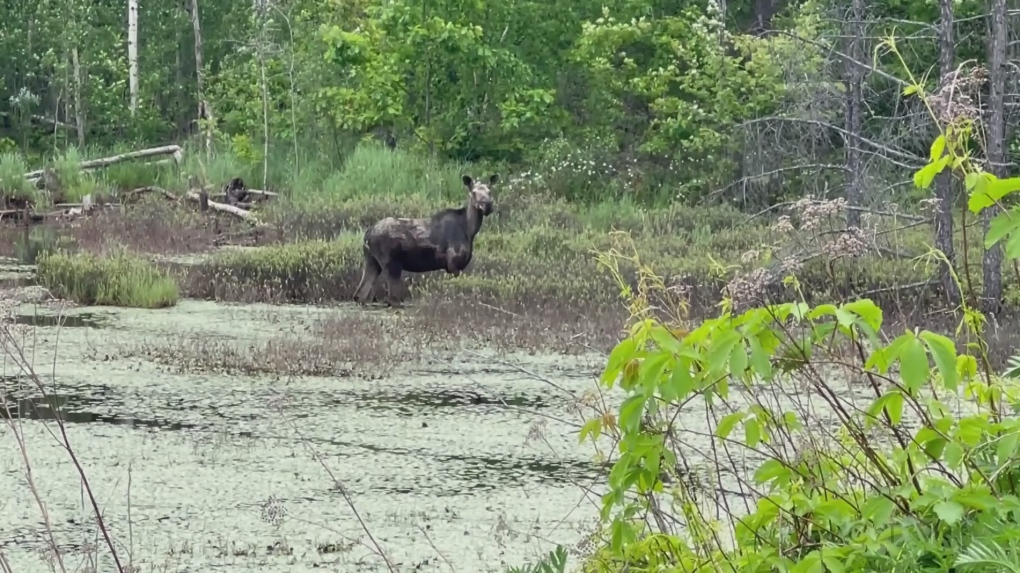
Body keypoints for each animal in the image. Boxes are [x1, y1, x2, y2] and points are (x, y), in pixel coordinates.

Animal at [357, 171, 499, 305]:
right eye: (474, 193)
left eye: (490, 191)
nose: (488, 205)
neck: (469, 230)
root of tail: (367, 234)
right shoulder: (454, 264)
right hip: (391, 264)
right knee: (391, 299)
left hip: (371, 262)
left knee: (360, 294)